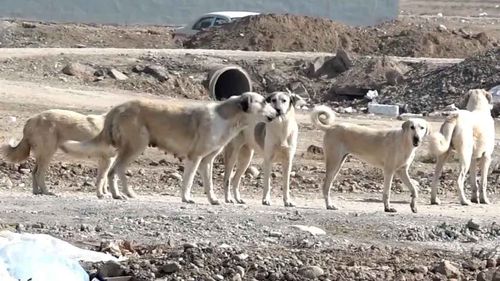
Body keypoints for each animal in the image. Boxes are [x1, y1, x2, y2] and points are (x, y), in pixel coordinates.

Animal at [62, 92, 278, 203]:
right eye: (264, 102)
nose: (277, 112)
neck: (229, 118)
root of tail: (117, 107)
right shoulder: (195, 157)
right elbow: (188, 181)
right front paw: (186, 198)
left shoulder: (207, 161)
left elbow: (209, 183)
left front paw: (213, 199)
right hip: (135, 146)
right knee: (114, 171)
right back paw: (117, 194)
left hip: (131, 148)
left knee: (118, 170)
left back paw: (128, 193)